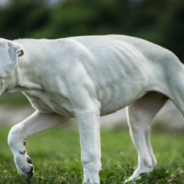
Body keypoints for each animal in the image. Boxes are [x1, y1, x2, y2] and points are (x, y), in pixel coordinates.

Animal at [0, 35, 182, 183]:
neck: (34, 64)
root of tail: (174, 56)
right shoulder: (52, 114)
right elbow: (15, 131)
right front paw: (24, 167)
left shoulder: (86, 111)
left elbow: (89, 154)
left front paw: (90, 181)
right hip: (138, 117)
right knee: (147, 158)